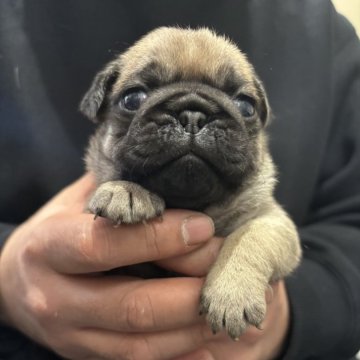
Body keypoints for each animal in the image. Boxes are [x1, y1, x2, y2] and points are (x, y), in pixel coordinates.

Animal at [79, 26, 300, 338]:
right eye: (133, 99)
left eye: (245, 106)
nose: (193, 115)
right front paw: (125, 191)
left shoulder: (274, 221)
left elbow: (251, 237)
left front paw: (231, 293)